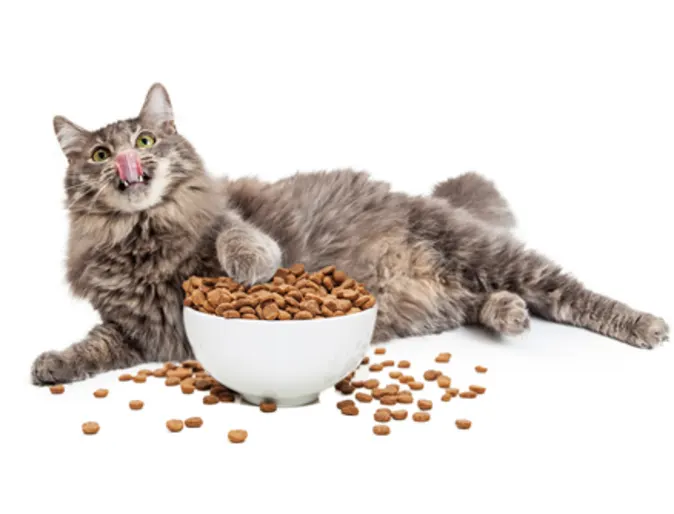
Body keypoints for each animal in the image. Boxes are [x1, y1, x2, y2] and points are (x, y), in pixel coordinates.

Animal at [30, 82, 668, 382]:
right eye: (98, 153)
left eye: (144, 141)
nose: (124, 161)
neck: (142, 236)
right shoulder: (134, 330)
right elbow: (91, 346)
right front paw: (51, 365)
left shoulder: (222, 216)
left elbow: (234, 235)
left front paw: (252, 263)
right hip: (464, 286)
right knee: (491, 302)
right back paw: (506, 313)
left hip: (489, 252)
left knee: (572, 295)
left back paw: (645, 325)